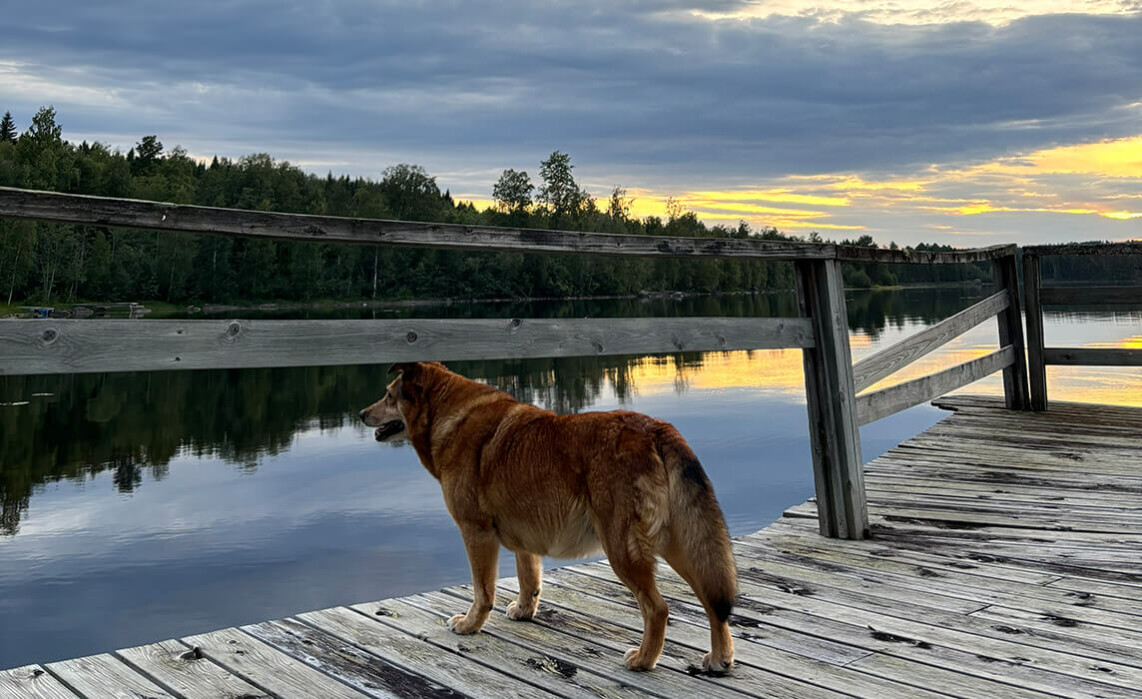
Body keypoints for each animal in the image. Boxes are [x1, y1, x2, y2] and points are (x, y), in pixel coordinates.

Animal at [358, 360, 740, 671]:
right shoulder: (523, 539)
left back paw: (644, 660)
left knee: (658, 608)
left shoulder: (476, 532)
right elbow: (529, 581)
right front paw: (524, 612)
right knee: (712, 600)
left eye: (389, 395)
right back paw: (720, 658)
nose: (361, 413)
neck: (447, 415)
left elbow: (483, 591)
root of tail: (655, 428)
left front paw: (469, 625)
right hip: (681, 542)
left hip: (623, 549)